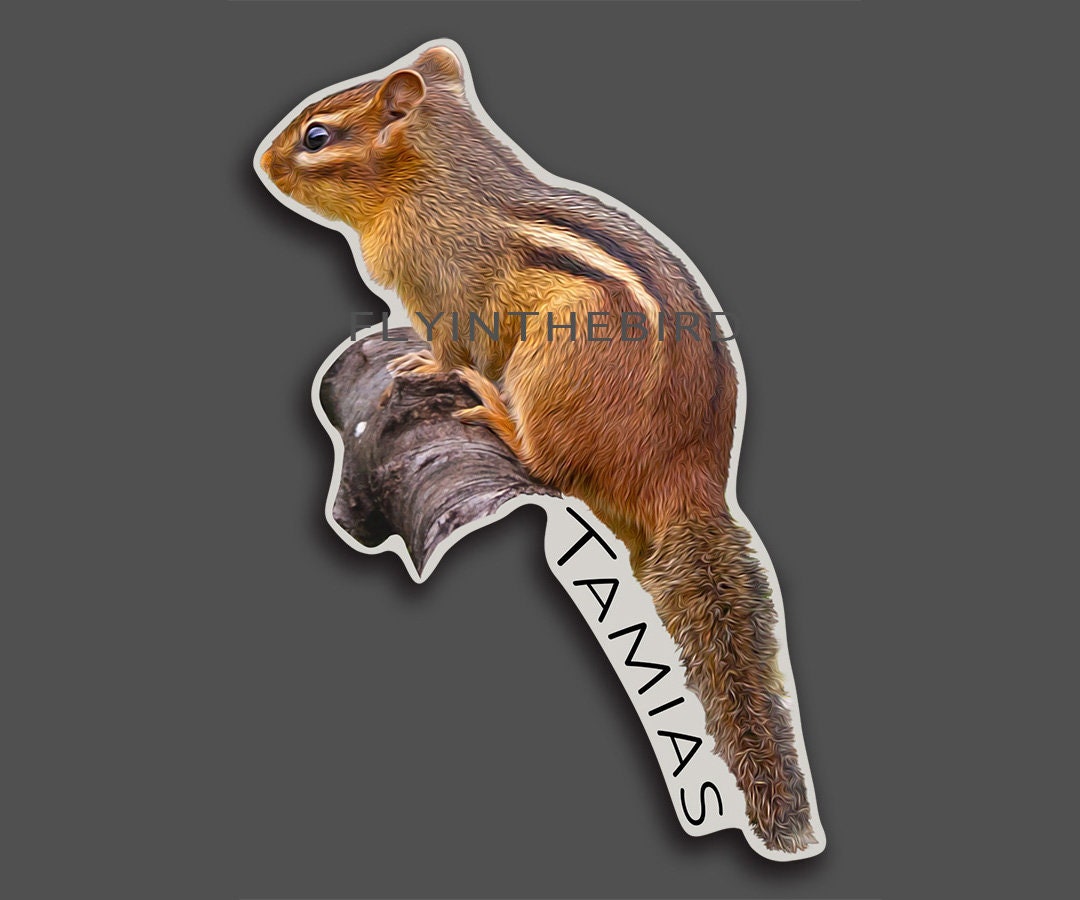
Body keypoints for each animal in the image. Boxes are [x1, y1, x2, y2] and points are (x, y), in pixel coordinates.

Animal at [260, 44, 815, 853]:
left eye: (316, 137)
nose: (262, 161)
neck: (431, 181)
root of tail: (686, 477)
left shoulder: (449, 293)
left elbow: (451, 344)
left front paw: (421, 366)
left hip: (557, 365)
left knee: (544, 464)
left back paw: (494, 410)